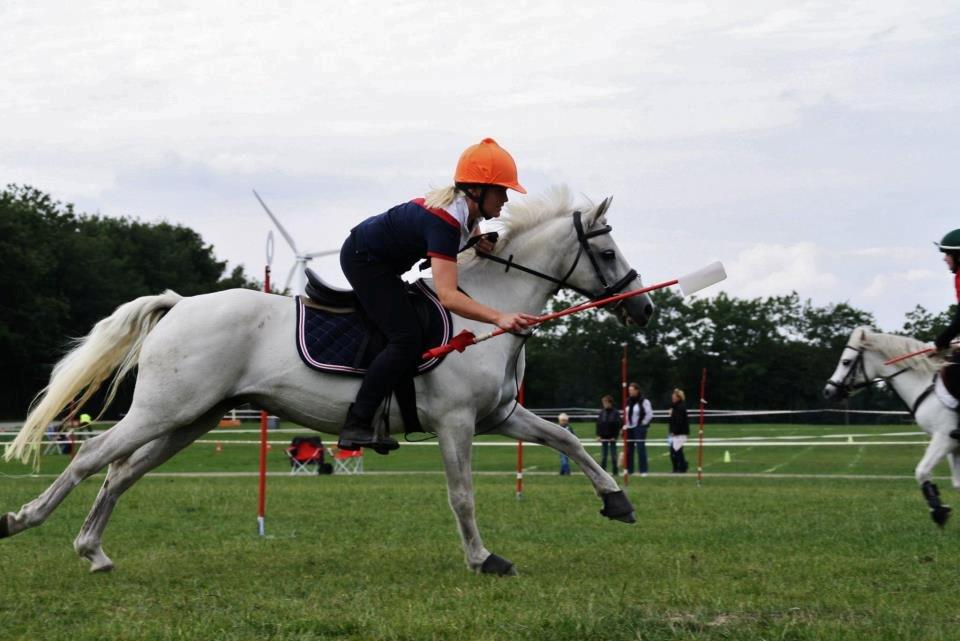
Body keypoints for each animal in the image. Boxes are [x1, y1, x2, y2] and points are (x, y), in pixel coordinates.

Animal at [1, 188, 652, 572]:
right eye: (609, 253)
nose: (643, 310)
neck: (481, 309)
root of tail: (181, 303)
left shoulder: (500, 416)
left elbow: (567, 440)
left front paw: (617, 501)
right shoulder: (456, 423)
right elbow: (462, 494)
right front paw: (483, 558)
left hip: (191, 419)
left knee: (121, 473)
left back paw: (93, 551)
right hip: (162, 412)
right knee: (92, 459)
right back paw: (23, 520)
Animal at [824, 328, 960, 524]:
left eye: (846, 362)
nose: (828, 391)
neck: (926, 385)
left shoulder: (944, 438)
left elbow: (921, 472)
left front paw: (939, 512)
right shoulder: (953, 446)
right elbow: (957, 484)